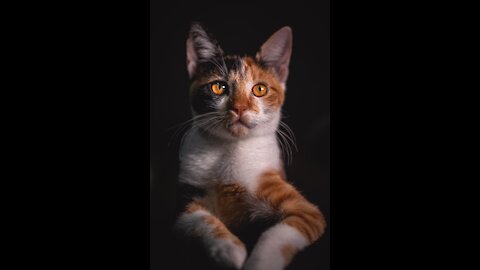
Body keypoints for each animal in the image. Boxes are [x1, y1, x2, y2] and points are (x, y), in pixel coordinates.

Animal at [172, 23, 326, 270]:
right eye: (218, 87)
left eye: (260, 89)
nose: (240, 108)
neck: (230, 150)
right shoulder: (185, 199)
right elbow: (199, 219)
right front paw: (229, 250)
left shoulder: (305, 211)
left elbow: (278, 233)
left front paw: (257, 262)